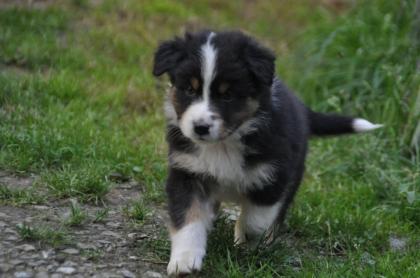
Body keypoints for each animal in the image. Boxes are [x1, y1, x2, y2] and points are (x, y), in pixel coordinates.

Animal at [153, 31, 382, 276]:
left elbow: (255, 221)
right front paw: (184, 261)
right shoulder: (187, 172)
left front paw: (246, 242)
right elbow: (188, 219)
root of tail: (302, 108)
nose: (200, 127)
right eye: (189, 90)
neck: (223, 144)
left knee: (278, 213)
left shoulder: (272, 177)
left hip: (294, 173)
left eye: (227, 95)